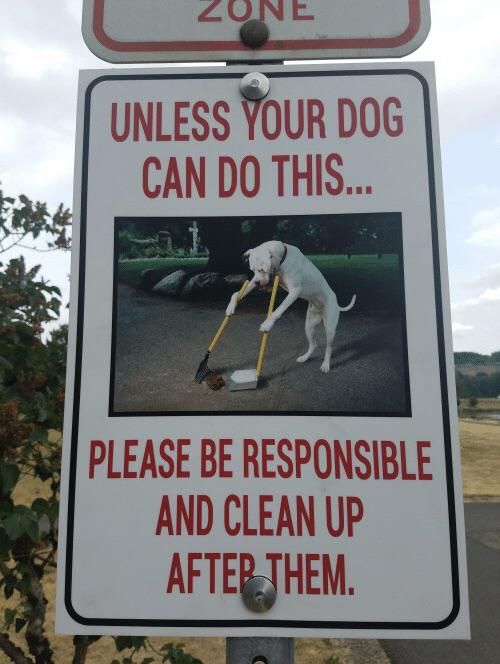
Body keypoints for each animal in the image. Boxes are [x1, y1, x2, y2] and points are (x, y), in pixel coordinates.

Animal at [227, 241, 356, 374]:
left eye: (261, 270)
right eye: (252, 270)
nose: (257, 283)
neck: (282, 259)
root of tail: (336, 303)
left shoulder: (294, 292)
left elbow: (278, 310)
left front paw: (267, 324)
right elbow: (236, 294)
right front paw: (231, 307)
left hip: (330, 329)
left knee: (329, 348)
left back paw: (326, 364)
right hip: (309, 326)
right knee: (314, 344)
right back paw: (304, 358)